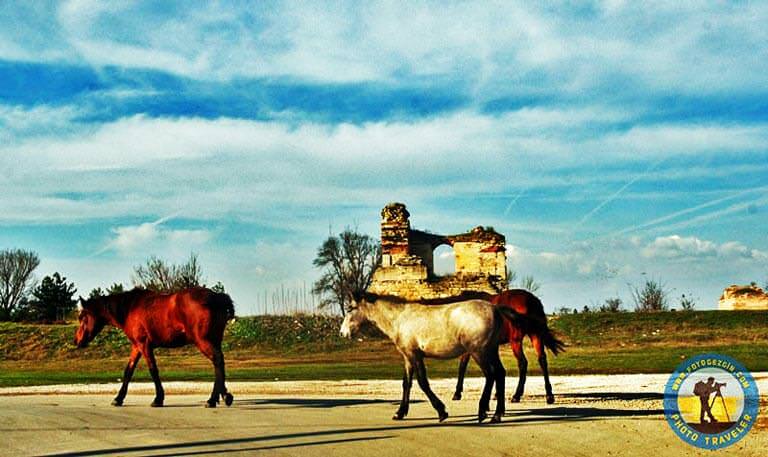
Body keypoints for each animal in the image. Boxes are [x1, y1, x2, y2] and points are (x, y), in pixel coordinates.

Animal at [77, 286, 237, 408]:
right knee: (219, 363)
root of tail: (217, 298)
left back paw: (213, 399)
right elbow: (128, 371)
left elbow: (153, 370)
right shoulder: (136, 347)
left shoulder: (144, 345)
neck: (130, 308)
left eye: (82, 317)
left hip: (203, 341)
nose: (77, 341)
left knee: (217, 361)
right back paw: (222, 396)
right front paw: (118, 398)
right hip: (214, 340)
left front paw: (158, 399)